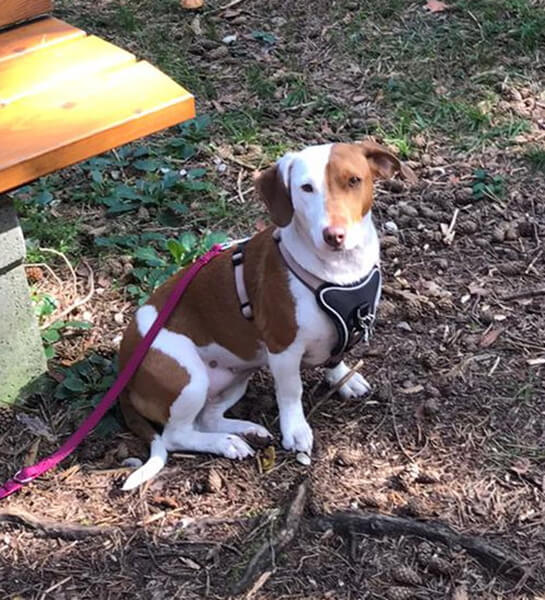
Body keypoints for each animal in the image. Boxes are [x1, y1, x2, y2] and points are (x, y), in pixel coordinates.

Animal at [119, 139, 411, 490]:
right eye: (306, 188)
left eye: (354, 180)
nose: (334, 234)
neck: (338, 273)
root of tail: (124, 375)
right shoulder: (283, 349)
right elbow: (291, 392)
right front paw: (295, 430)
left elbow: (336, 357)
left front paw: (342, 377)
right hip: (189, 378)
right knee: (176, 435)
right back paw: (225, 443)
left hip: (236, 377)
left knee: (206, 418)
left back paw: (244, 431)